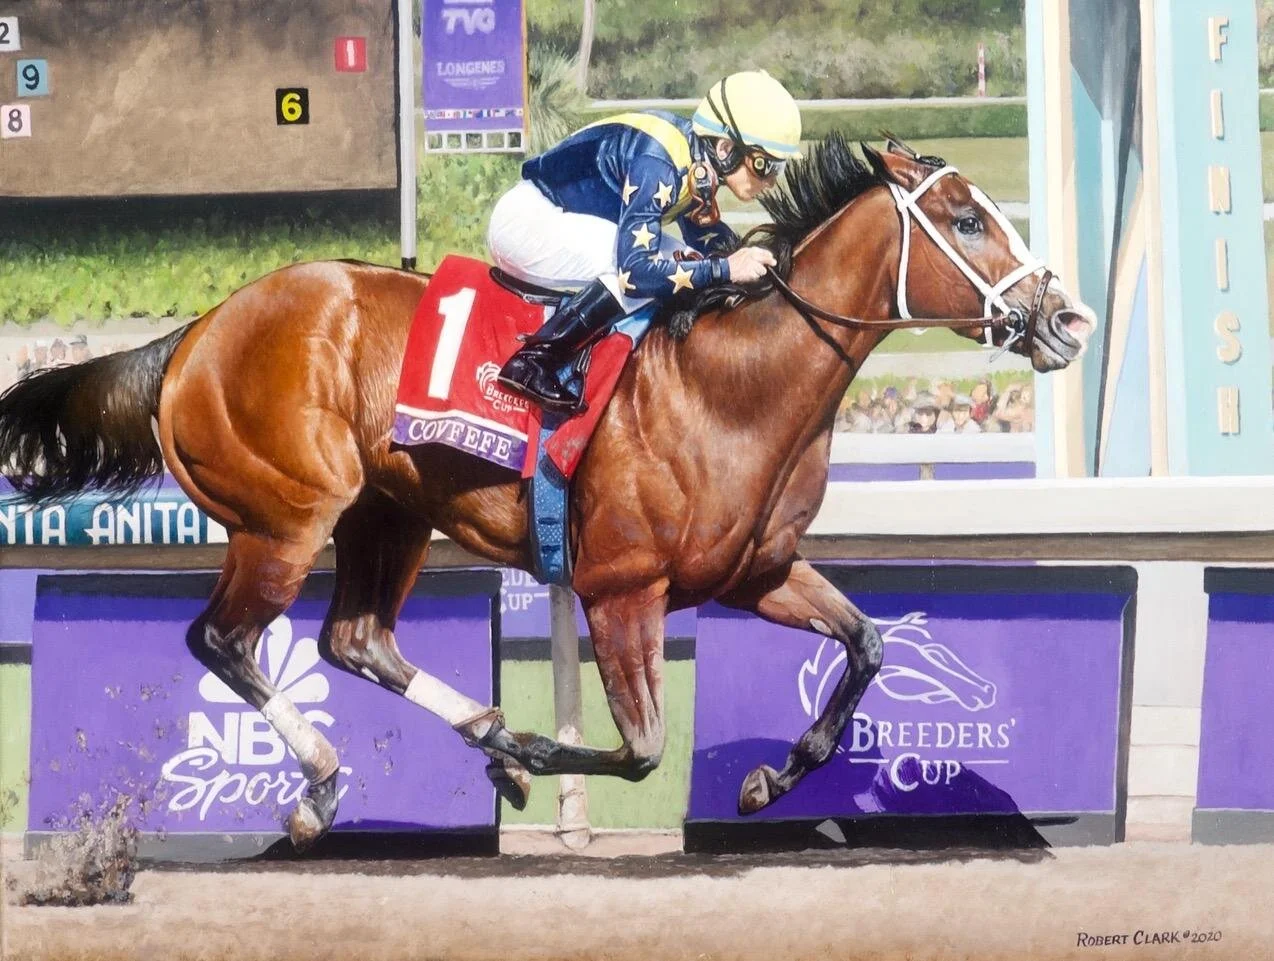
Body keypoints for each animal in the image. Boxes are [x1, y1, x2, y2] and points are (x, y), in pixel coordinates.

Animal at [0, 136, 1094, 851]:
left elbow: (864, 644)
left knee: (353, 640)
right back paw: (326, 783)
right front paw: (524, 747)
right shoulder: (620, 590)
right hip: (285, 518)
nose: (1068, 319)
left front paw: (764, 779)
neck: (729, 386)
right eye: (966, 220)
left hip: (387, 514)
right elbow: (643, 748)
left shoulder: (756, 571)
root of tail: (197, 329)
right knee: (224, 640)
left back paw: (468, 734)